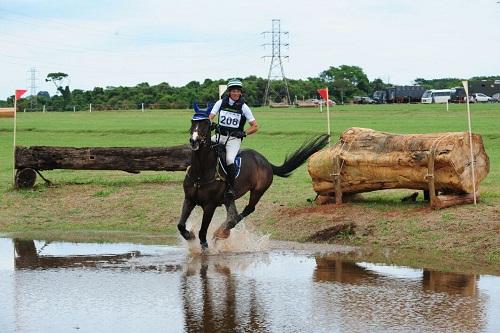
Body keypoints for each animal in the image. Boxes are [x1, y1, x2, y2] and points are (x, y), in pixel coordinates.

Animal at [178, 105, 330, 249]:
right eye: (193, 121)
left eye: (206, 124)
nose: (194, 141)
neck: (201, 173)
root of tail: (266, 161)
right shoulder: (189, 199)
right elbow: (180, 225)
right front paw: (189, 236)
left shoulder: (210, 205)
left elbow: (202, 233)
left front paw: (205, 249)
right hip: (228, 198)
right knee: (233, 216)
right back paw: (223, 231)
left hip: (257, 191)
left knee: (247, 210)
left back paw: (221, 232)